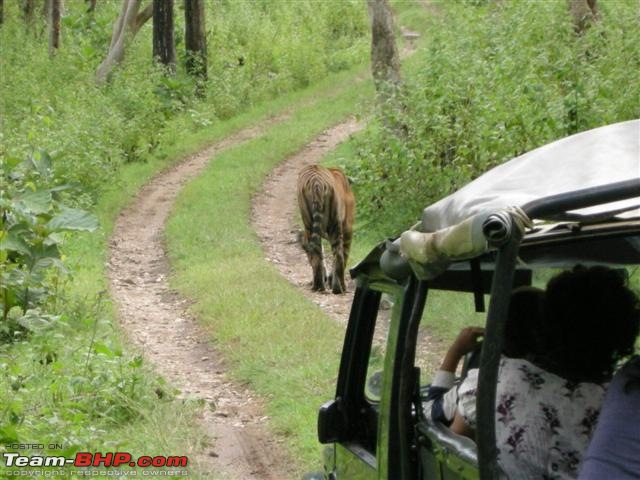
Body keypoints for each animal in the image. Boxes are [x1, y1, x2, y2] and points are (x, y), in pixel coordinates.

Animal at [296, 164, 356, 292]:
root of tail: (316, 182)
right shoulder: (348, 227)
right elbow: (344, 254)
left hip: (309, 224)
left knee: (317, 256)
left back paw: (319, 286)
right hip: (336, 226)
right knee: (339, 255)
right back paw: (339, 288)